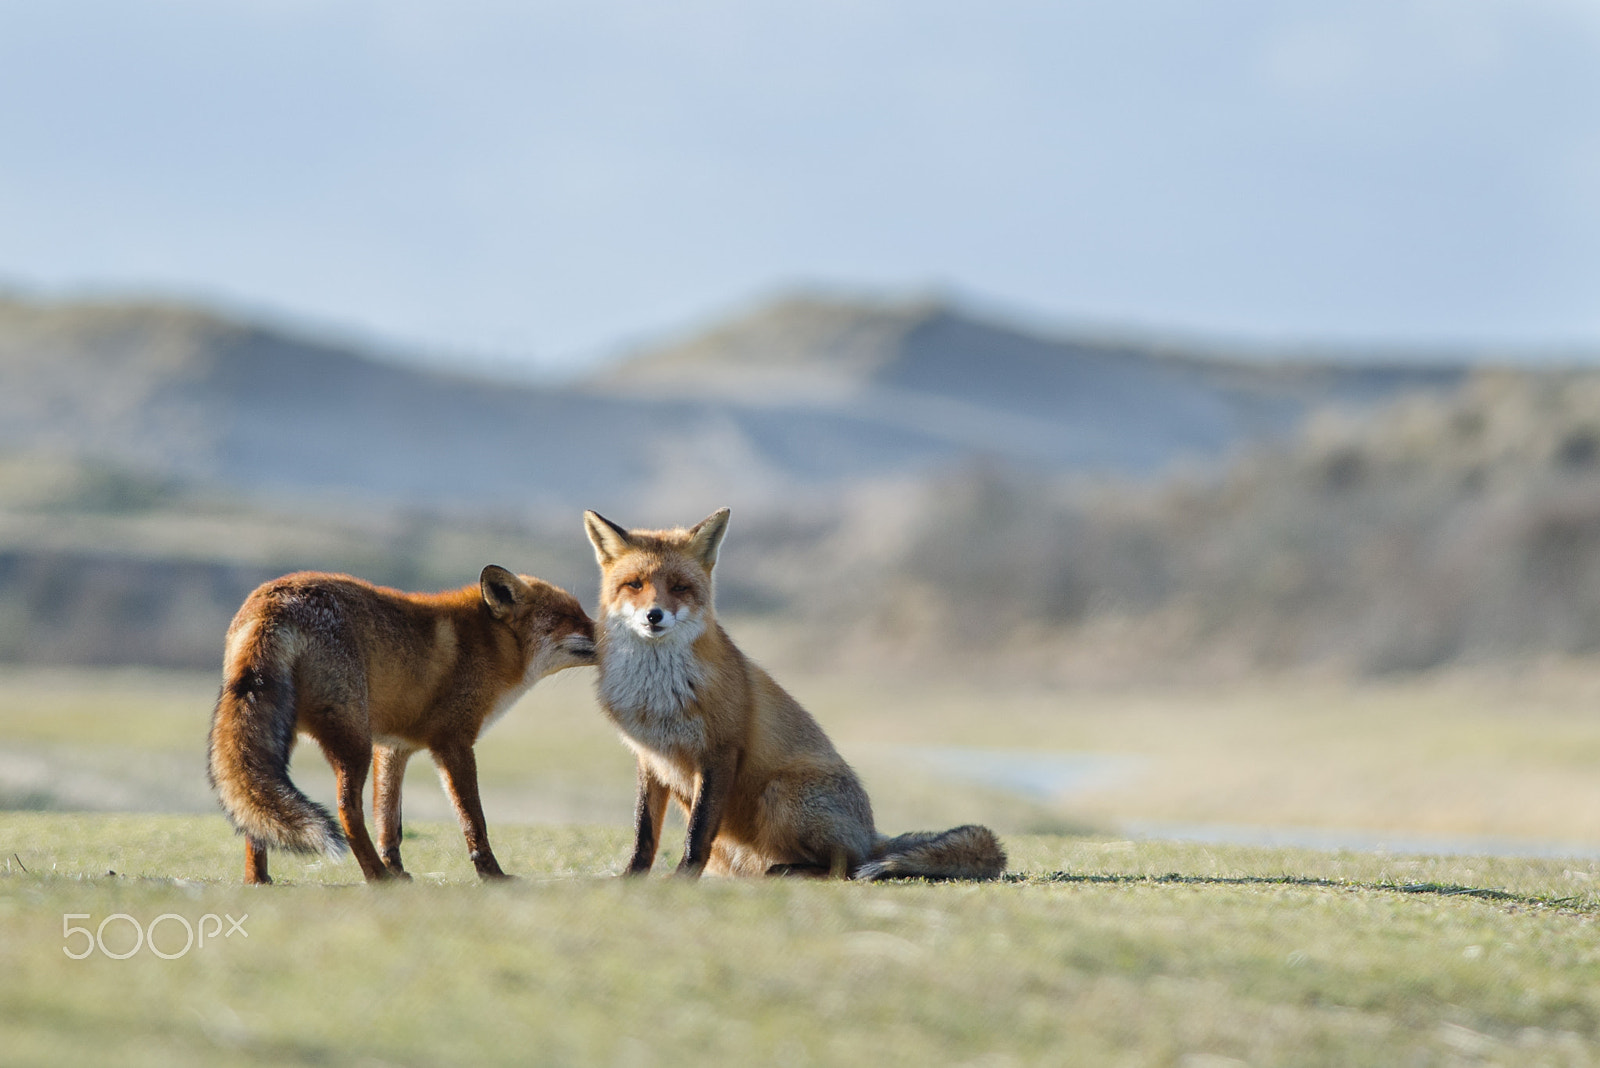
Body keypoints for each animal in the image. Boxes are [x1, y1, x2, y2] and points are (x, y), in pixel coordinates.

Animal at [206, 565, 595, 882]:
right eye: (569, 616)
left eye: (582, 613)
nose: (606, 632)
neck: (488, 644)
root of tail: (273, 599)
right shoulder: (452, 742)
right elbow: (474, 819)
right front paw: (492, 874)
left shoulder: (394, 746)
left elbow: (389, 821)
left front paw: (398, 868)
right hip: (352, 741)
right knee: (346, 810)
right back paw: (376, 877)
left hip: (278, 736)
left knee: (256, 807)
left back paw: (259, 878)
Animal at [582, 508, 1004, 882]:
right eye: (635, 584)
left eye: (679, 587)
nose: (654, 615)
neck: (656, 695)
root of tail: (871, 837)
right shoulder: (650, 758)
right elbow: (644, 834)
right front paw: (631, 878)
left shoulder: (719, 750)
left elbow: (697, 834)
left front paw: (682, 879)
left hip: (782, 792)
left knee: (844, 867)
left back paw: (792, 871)